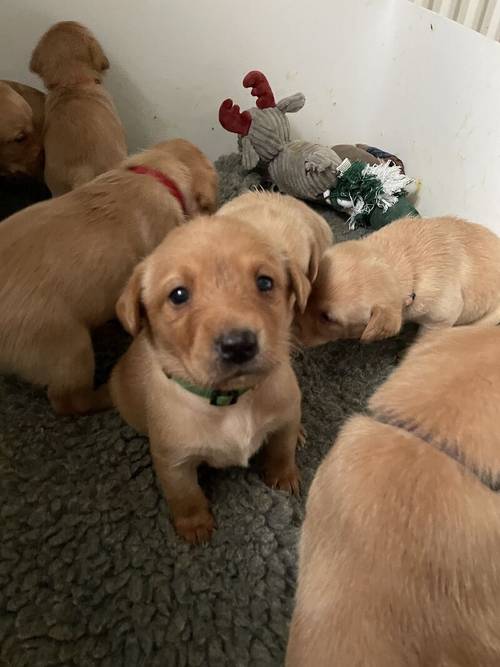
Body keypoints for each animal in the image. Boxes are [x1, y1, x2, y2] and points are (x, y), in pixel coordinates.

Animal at [111, 217, 302, 544]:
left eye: (265, 282)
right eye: (178, 295)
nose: (238, 345)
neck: (232, 399)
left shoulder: (286, 417)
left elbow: (282, 449)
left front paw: (283, 475)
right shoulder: (173, 461)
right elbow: (185, 495)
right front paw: (195, 525)